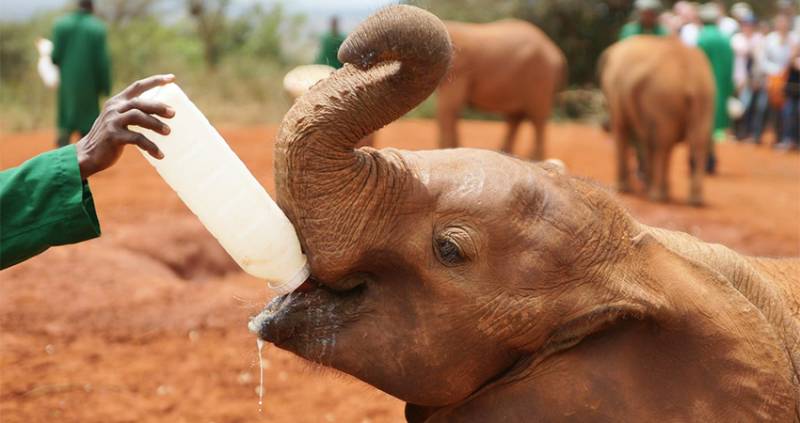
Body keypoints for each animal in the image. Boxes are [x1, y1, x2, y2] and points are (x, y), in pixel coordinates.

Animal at [438, 18, 564, 161]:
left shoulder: (460, 70)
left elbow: (449, 108)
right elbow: (450, 110)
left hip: (541, 77)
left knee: (537, 118)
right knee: (516, 118)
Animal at [600, 37, 712, 206]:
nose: (604, 125)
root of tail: (689, 78)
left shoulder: (616, 91)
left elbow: (623, 129)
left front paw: (622, 189)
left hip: (663, 93)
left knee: (662, 143)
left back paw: (656, 196)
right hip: (705, 96)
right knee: (697, 142)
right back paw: (694, 200)